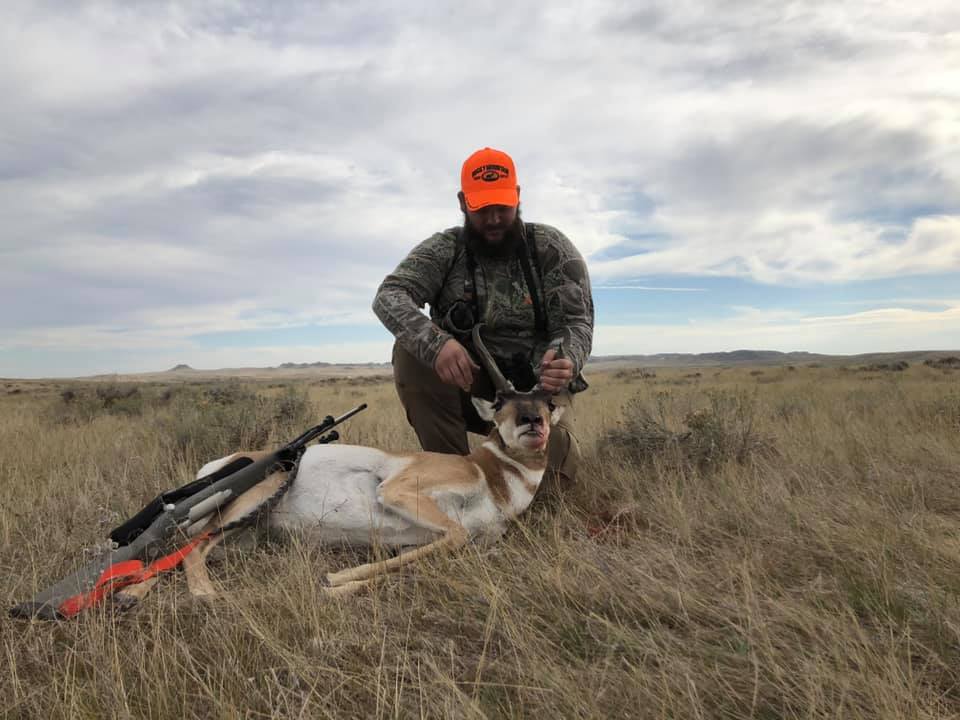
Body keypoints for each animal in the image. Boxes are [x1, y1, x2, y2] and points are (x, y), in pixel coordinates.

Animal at [120, 324, 568, 600]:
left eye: (548, 403)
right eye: (502, 401)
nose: (532, 422)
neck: (489, 475)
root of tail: (219, 464)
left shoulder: (443, 542)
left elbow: (414, 561)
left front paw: (336, 582)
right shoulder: (400, 491)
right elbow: (451, 535)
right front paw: (335, 580)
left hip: (243, 537)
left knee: (179, 552)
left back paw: (131, 594)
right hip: (248, 503)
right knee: (190, 550)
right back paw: (199, 596)